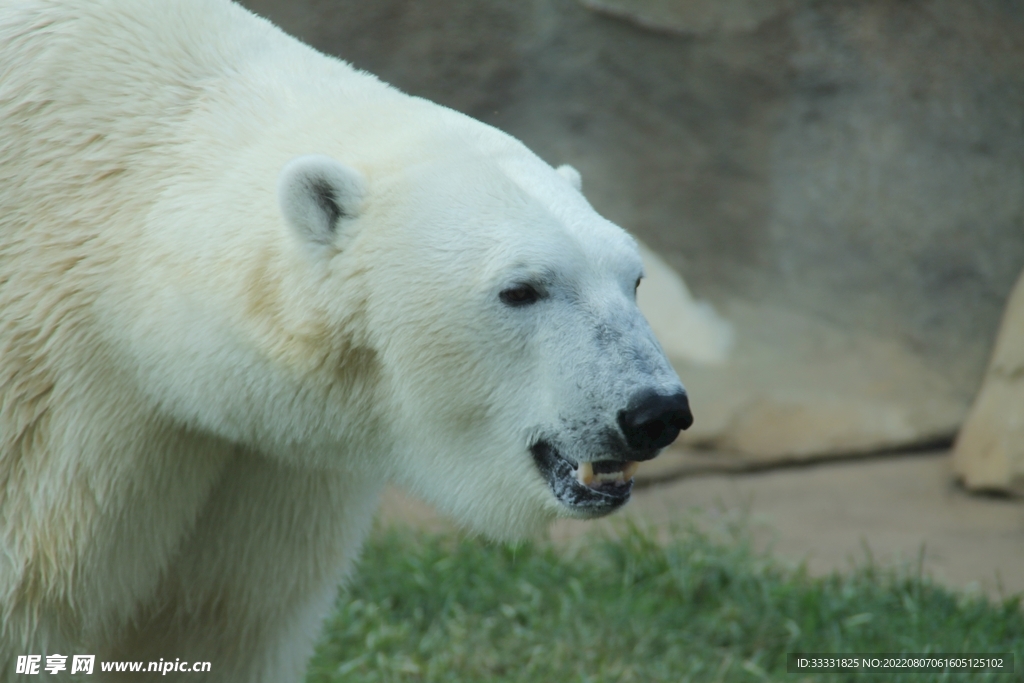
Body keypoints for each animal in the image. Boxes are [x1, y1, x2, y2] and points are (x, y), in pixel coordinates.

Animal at [0, 1, 688, 683]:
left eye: (634, 279)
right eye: (521, 289)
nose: (655, 411)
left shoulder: (269, 469)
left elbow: (222, 622)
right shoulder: (57, 420)